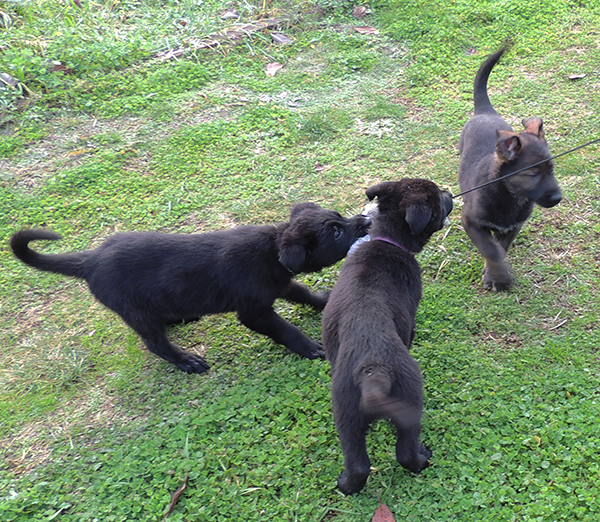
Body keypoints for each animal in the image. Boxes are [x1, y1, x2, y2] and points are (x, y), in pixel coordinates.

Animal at [10, 201, 370, 372]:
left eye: (339, 216)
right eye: (336, 231)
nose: (366, 221)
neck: (271, 251)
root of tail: (91, 260)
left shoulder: (279, 285)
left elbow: (304, 294)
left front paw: (324, 301)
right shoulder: (253, 311)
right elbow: (285, 329)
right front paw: (309, 347)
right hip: (137, 312)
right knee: (155, 343)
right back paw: (186, 361)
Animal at [322, 179, 452, 492]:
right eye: (438, 199)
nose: (451, 193)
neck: (385, 239)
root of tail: (374, 371)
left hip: (345, 412)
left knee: (358, 463)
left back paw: (345, 485)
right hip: (411, 395)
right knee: (405, 452)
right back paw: (422, 458)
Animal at [460, 46, 564, 290]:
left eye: (552, 170)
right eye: (532, 174)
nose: (558, 198)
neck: (510, 195)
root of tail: (485, 112)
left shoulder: (514, 226)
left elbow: (500, 248)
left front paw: (493, 274)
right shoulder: (470, 220)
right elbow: (491, 249)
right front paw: (499, 277)